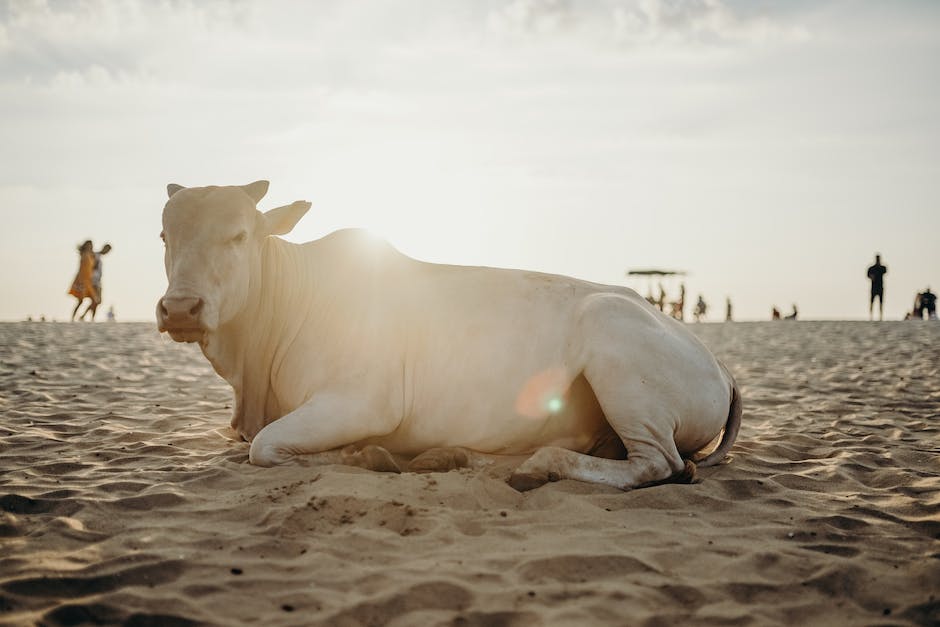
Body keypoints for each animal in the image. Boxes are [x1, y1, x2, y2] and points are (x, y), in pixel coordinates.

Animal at [156, 180, 740, 490]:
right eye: (164, 235)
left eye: (238, 235)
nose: (180, 308)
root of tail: (721, 367)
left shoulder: (364, 402)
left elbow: (266, 447)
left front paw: (367, 456)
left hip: (613, 339)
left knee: (659, 463)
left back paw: (538, 465)